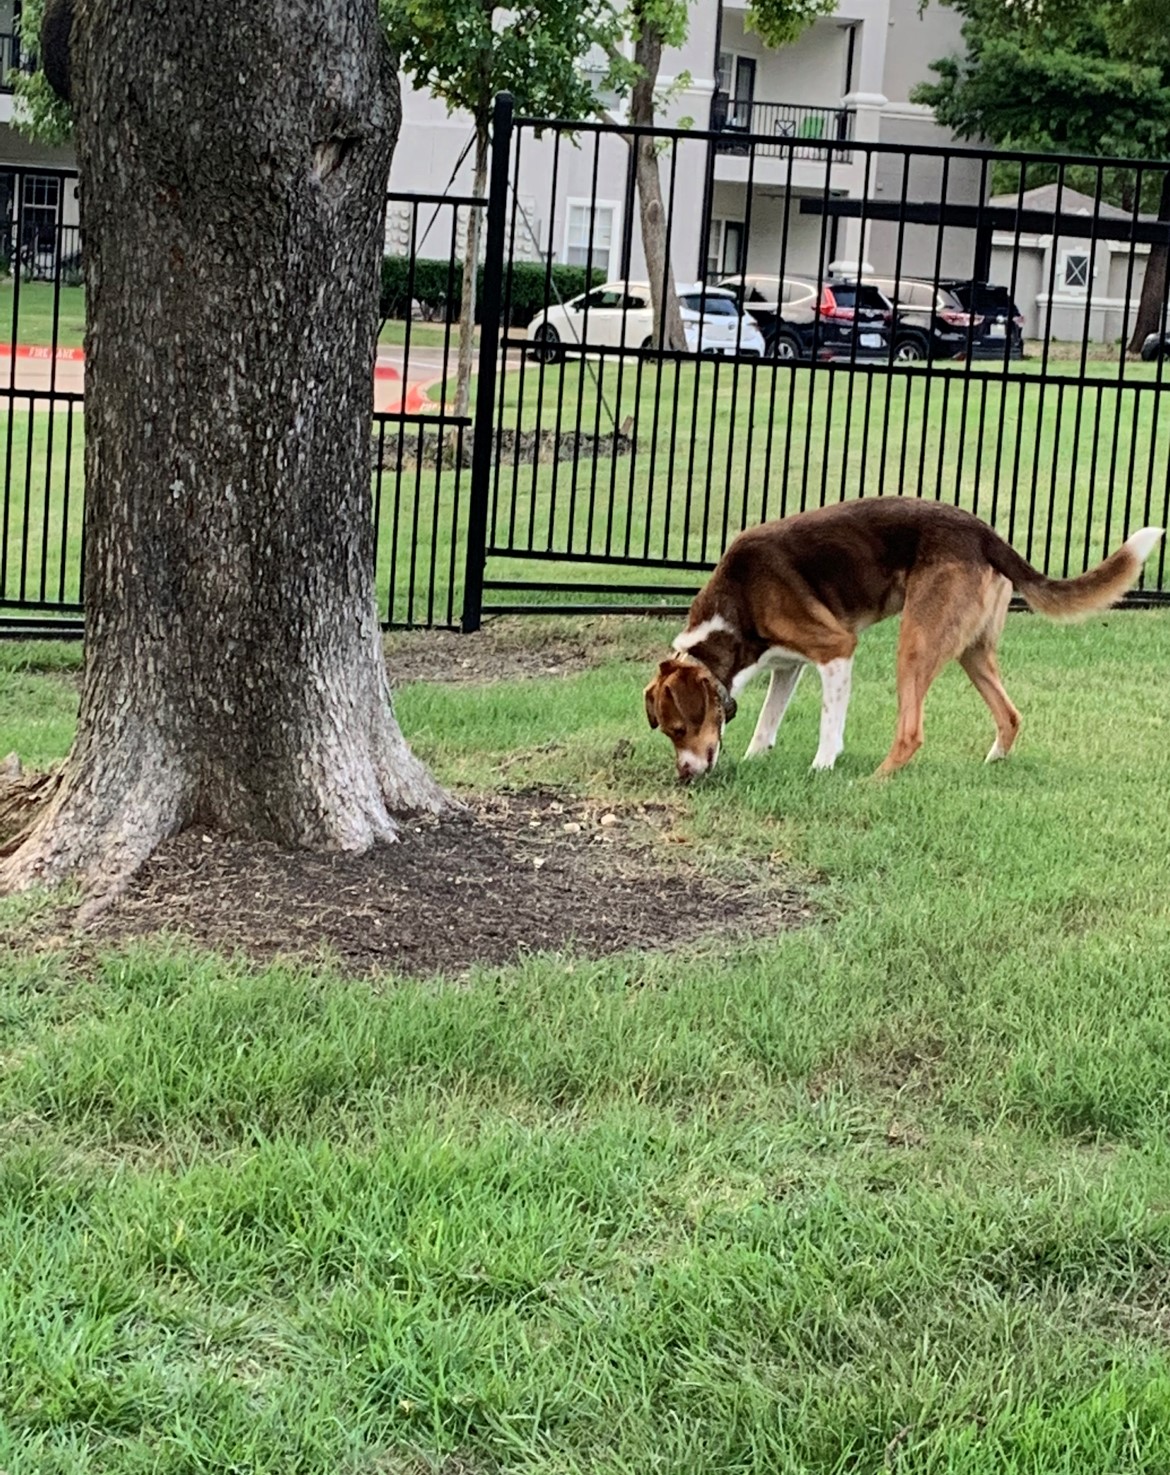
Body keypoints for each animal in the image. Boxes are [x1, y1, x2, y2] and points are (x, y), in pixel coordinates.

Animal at [643, 501, 1162, 784]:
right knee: (1009, 713)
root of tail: (985, 534)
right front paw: (756, 758)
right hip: (971, 650)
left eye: (678, 729)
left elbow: (829, 726)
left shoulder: (836, 649)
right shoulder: (788, 666)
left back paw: (872, 781)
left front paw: (821, 769)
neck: (733, 615)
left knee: (911, 731)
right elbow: (765, 725)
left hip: (914, 643)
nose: (685, 776)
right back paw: (993, 761)